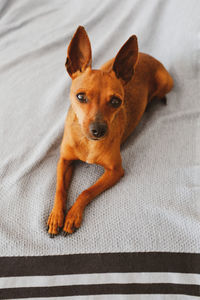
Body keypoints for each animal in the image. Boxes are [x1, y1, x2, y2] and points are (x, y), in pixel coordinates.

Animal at [47, 25, 173, 237]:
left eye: (116, 102)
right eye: (80, 97)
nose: (98, 130)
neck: (88, 142)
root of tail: (147, 55)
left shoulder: (115, 171)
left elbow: (86, 192)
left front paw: (72, 216)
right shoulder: (64, 160)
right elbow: (60, 189)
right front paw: (57, 215)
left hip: (166, 82)